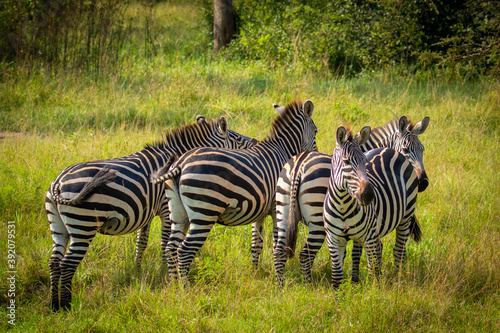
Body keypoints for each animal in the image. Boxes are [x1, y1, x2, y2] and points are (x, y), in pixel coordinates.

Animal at [45, 115, 256, 310]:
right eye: (237, 138)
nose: (255, 141)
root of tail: (57, 183)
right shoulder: (165, 208)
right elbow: (164, 242)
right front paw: (164, 272)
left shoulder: (145, 212)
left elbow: (141, 242)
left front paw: (137, 270)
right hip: (83, 223)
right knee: (67, 263)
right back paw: (66, 304)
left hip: (59, 227)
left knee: (54, 261)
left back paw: (54, 304)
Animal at [150, 100, 318, 278]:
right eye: (316, 132)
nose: (314, 155)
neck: (283, 149)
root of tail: (180, 164)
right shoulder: (276, 207)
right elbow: (275, 244)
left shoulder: (260, 211)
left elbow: (256, 244)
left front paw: (254, 274)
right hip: (204, 213)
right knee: (184, 251)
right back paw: (184, 284)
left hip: (177, 213)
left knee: (171, 248)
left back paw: (174, 282)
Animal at [274, 115, 430, 284]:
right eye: (406, 150)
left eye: (422, 149)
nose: (423, 182)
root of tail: (299, 165)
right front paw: (356, 280)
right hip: (317, 222)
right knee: (305, 256)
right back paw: (309, 285)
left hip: (283, 211)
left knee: (279, 252)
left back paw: (280, 286)